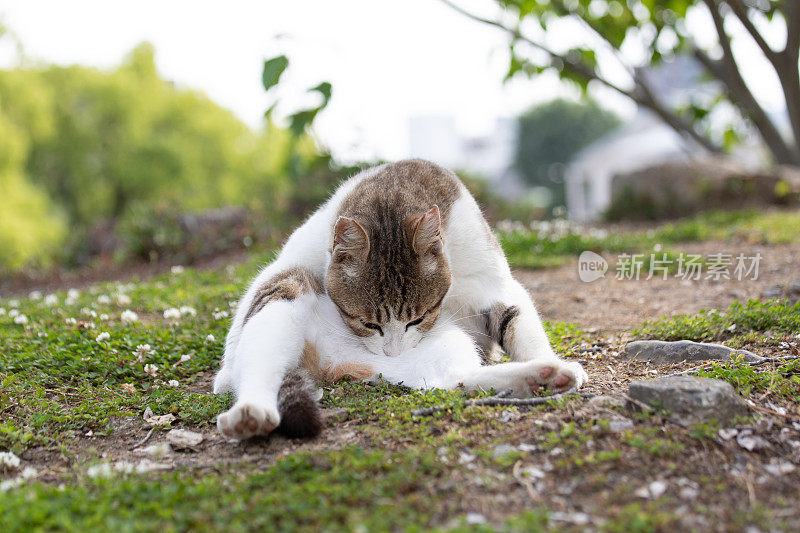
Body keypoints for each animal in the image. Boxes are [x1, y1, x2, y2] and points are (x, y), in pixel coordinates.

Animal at [212, 160, 588, 438]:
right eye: (367, 323)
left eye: (417, 319)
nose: (392, 351)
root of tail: (323, 364)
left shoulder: (493, 285)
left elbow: (519, 325)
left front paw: (551, 360)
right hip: (284, 290)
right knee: (258, 363)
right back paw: (251, 413)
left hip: (437, 348)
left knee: (452, 378)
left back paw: (542, 375)